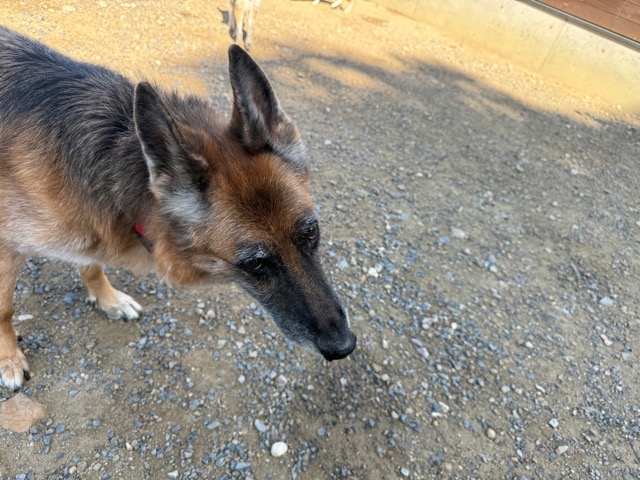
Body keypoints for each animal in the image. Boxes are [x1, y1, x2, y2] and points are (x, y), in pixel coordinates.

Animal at [0, 26, 357, 391]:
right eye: (255, 264)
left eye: (311, 232)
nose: (344, 346)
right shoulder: (8, 249)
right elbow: (5, 310)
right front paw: (9, 360)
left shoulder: (87, 237)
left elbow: (91, 266)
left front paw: (108, 299)